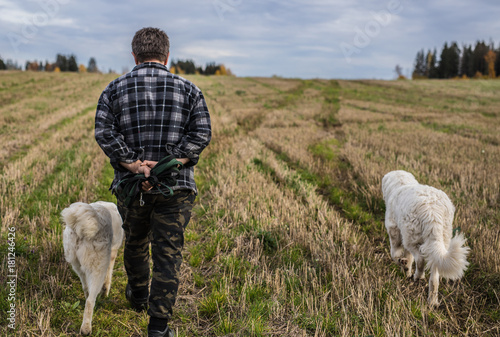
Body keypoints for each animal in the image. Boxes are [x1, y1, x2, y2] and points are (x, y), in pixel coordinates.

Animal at [61, 201, 124, 334]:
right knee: (90, 301)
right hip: (98, 267)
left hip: (76, 263)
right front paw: (105, 292)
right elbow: (109, 276)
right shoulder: (112, 252)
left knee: (86, 289)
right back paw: (86, 329)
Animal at [382, 169, 468, 306]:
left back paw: (418, 276)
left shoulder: (394, 230)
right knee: (434, 274)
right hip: (441, 238)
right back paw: (432, 301)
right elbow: (408, 257)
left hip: (411, 237)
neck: (402, 184)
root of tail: (431, 211)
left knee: (420, 259)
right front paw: (406, 270)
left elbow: (395, 254)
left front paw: (403, 265)